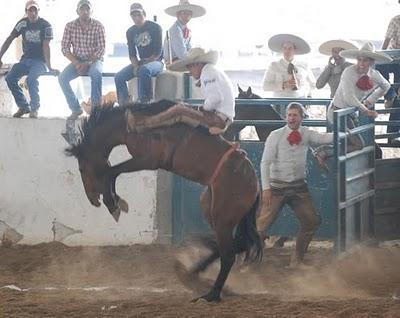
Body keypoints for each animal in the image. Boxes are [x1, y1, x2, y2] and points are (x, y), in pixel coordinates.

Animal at [65, 100, 262, 304]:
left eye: (81, 167)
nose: (92, 199)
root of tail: (254, 184)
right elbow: (112, 172)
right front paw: (117, 202)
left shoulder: (148, 159)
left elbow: (111, 172)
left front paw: (113, 204)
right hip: (212, 208)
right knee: (232, 246)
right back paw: (193, 272)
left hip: (223, 217)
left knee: (229, 255)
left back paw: (211, 294)